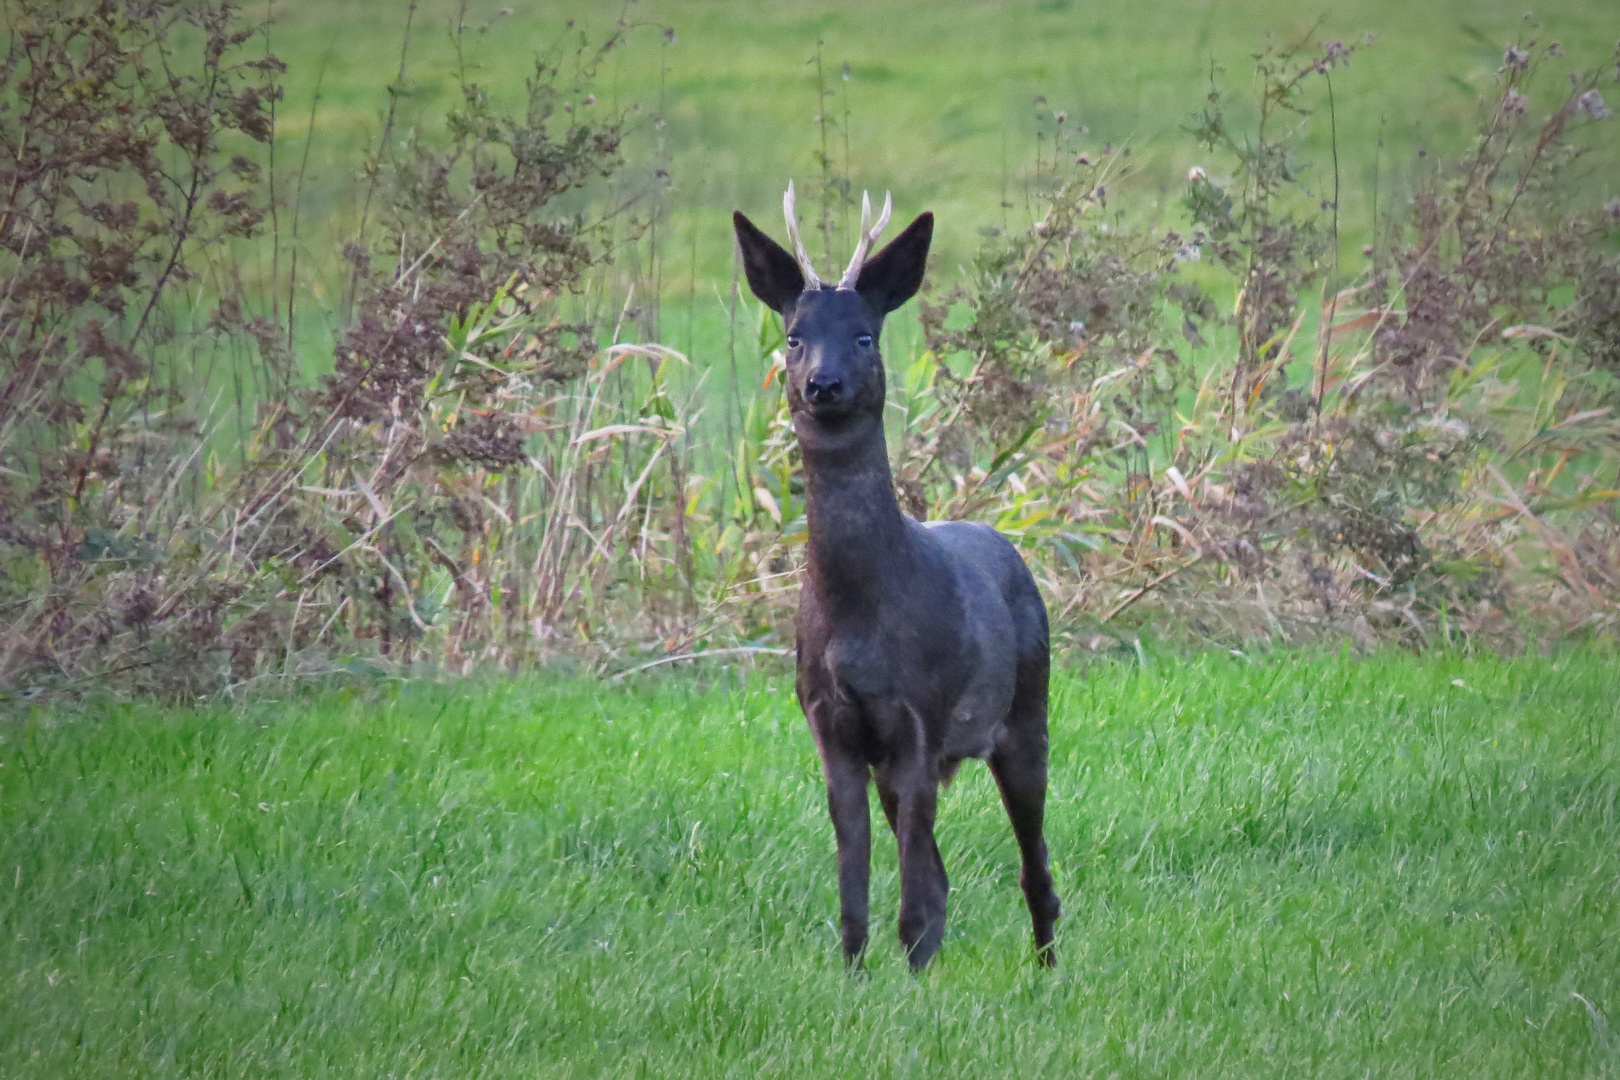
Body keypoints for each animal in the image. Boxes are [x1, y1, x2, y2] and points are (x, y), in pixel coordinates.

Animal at [735, 186, 1062, 971]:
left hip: (1026, 713)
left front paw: (911, 978)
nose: (822, 384)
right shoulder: (832, 730)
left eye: (864, 337)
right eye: (794, 336)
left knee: (1035, 869)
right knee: (944, 876)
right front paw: (856, 976)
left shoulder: (919, 717)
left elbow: (912, 899)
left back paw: (1048, 973)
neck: (857, 617)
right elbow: (857, 891)